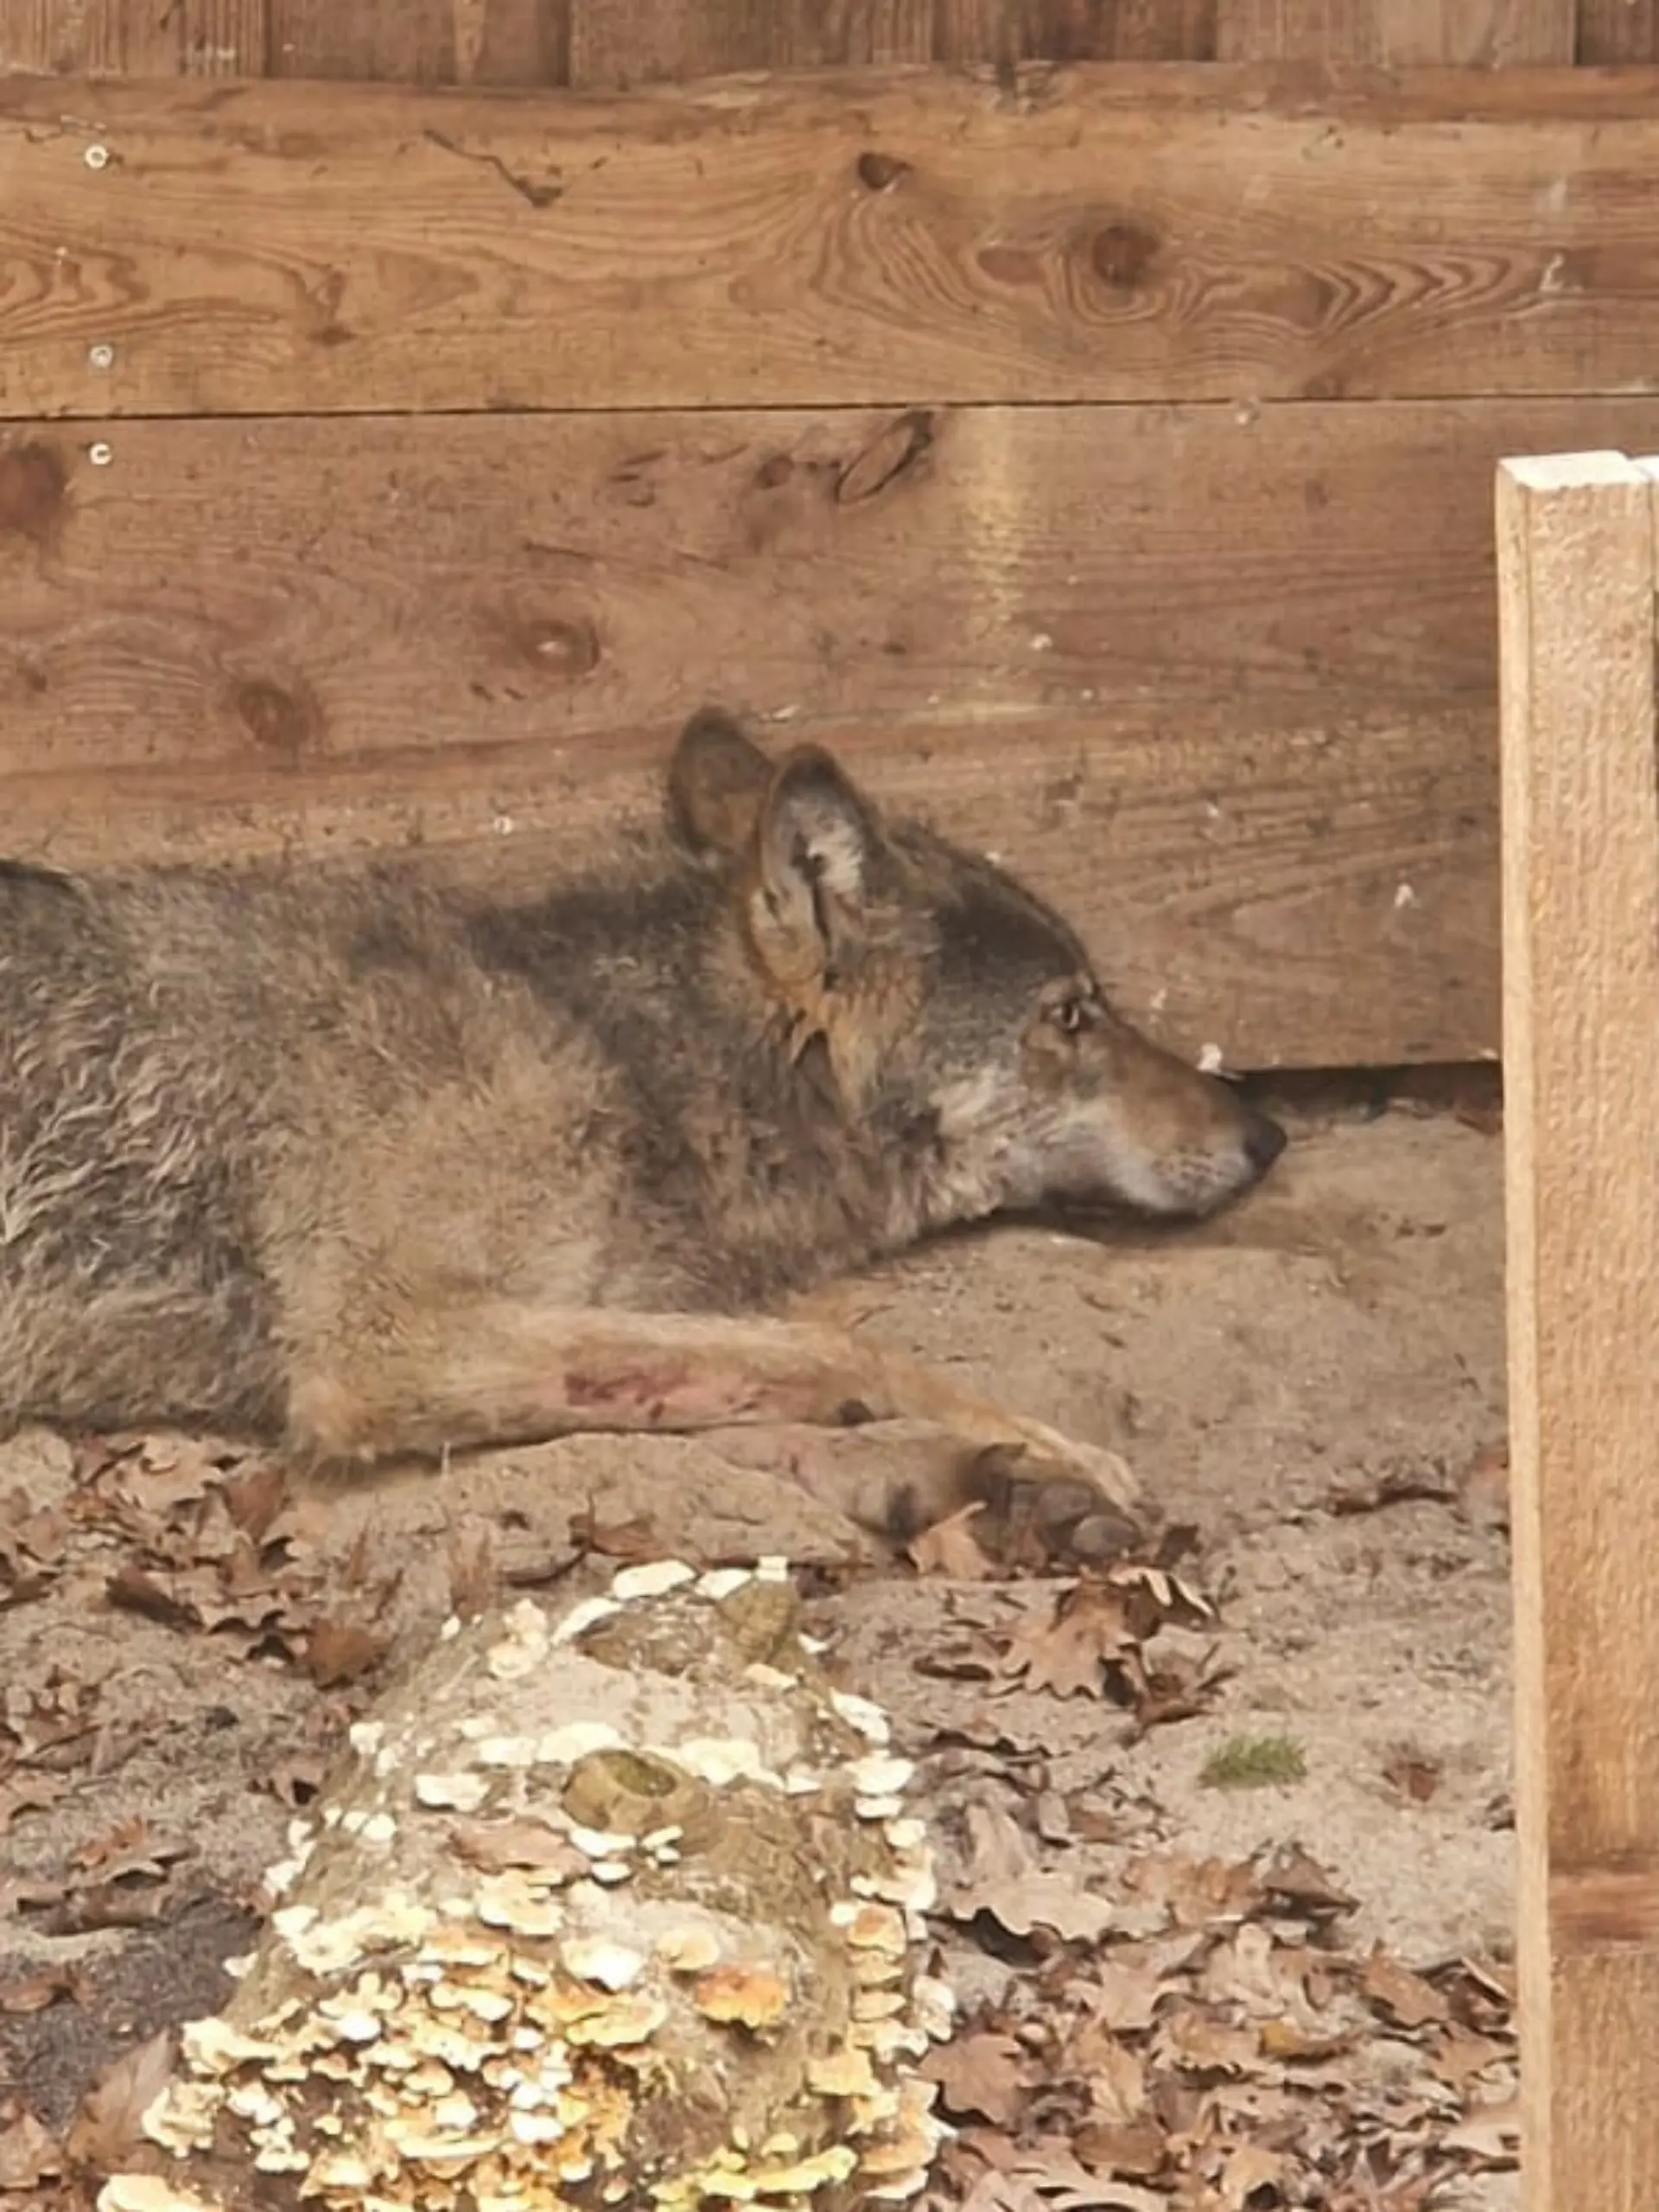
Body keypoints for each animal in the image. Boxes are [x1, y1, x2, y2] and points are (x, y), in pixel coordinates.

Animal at [0, 709, 1284, 1554]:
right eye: (1070, 1015)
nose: (1267, 1132)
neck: (618, 1053)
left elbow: (729, 1414)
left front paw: (971, 1475)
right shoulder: (382, 1349)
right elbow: (844, 1354)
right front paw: (1048, 1451)